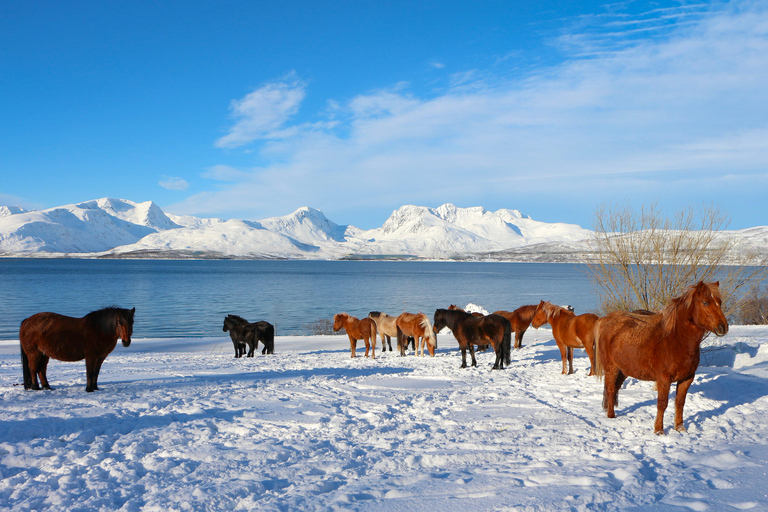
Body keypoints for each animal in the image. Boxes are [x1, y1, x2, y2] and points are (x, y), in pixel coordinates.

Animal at [596, 282, 728, 434]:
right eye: (705, 302)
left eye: (720, 302)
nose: (723, 327)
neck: (675, 341)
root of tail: (606, 319)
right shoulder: (664, 380)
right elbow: (662, 404)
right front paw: (659, 431)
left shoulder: (687, 379)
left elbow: (680, 403)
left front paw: (680, 428)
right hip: (611, 368)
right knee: (611, 390)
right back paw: (611, 416)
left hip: (623, 370)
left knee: (615, 389)